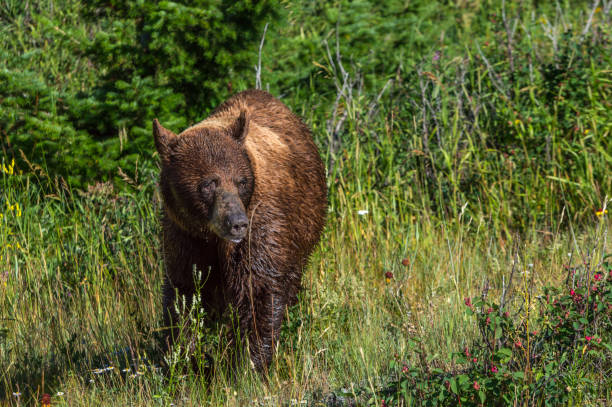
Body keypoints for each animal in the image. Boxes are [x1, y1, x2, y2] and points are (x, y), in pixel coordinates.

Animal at [152, 89, 328, 372]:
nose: (237, 222)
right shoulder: (184, 237)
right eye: (208, 184)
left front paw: (249, 363)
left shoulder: (260, 227)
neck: (210, 236)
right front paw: (185, 357)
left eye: (241, 181)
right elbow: (185, 294)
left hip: (303, 229)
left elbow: (258, 289)